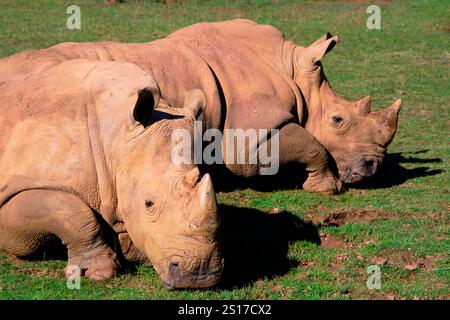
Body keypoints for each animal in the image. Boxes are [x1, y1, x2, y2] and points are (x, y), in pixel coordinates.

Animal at [0, 19, 400, 195]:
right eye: (337, 119)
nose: (372, 168)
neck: (290, 68)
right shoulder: (250, 138)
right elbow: (311, 144)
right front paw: (328, 187)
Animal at [0, 58, 223, 288]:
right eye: (148, 204)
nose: (200, 274)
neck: (114, 135)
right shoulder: (17, 185)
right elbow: (68, 210)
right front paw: (97, 272)